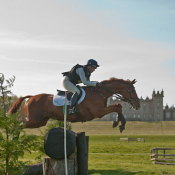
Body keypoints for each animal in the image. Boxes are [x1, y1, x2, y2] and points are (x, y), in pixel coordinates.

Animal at [7, 78, 140, 133]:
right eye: (133, 90)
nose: (138, 105)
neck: (100, 92)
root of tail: (30, 97)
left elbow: (118, 106)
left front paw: (119, 123)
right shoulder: (98, 112)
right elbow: (117, 106)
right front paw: (119, 124)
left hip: (40, 121)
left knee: (20, 124)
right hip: (33, 120)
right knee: (18, 124)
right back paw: (13, 136)